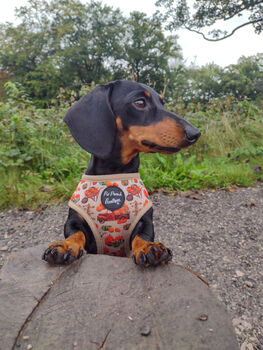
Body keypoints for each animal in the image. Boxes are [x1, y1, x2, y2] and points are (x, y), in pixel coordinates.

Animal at [42, 80, 200, 266]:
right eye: (140, 102)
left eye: (163, 103)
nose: (195, 133)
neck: (114, 174)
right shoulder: (74, 220)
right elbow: (75, 233)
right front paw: (65, 246)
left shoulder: (146, 221)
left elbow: (142, 235)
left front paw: (149, 247)